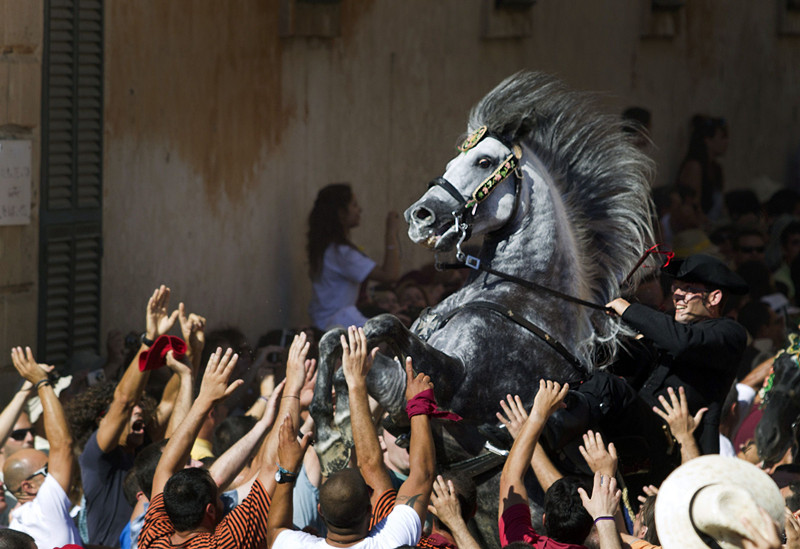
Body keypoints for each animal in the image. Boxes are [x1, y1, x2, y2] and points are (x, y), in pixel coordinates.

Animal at [310, 71, 652, 544]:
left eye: (485, 162)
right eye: (453, 161)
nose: (419, 216)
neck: (519, 295)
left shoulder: (452, 382)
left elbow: (383, 326)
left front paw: (335, 428)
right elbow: (337, 337)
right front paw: (328, 429)